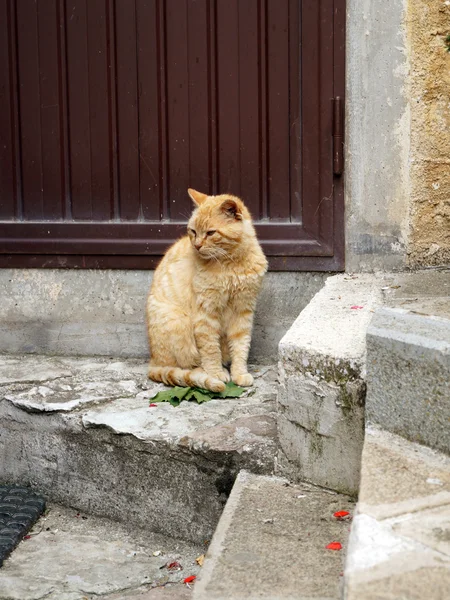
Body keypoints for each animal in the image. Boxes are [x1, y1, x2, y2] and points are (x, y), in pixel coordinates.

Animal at [147, 189, 268, 394]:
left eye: (211, 233)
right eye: (193, 231)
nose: (197, 245)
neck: (231, 264)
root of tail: (153, 360)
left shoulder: (243, 311)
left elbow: (241, 346)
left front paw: (239, 373)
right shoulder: (206, 314)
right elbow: (210, 349)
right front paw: (216, 373)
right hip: (179, 322)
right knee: (188, 365)